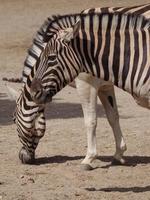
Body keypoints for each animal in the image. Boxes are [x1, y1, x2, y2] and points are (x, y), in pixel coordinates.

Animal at [7, 4, 149, 167]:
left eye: (13, 119)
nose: (23, 158)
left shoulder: (86, 83)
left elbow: (90, 120)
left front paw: (89, 158)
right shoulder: (105, 85)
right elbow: (113, 117)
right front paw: (119, 153)